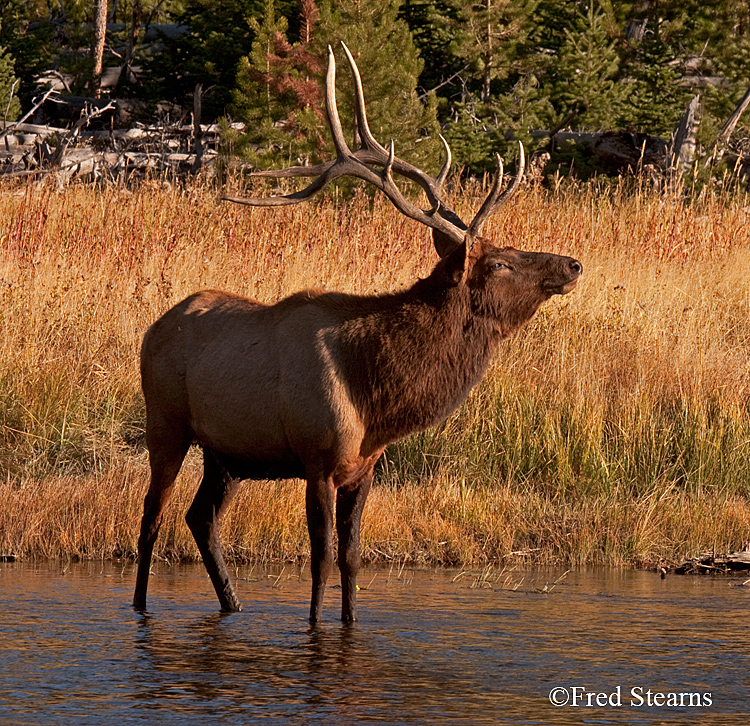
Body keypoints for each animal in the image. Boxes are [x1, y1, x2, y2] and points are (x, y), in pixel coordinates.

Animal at [134, 44, 580, 624]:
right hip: (165, 422)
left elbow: (351, 559)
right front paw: (315, 627)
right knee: (151, 517)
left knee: (200, 519)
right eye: (501, 263)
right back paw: (141, 608)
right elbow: (321, 558)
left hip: (226, 451)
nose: (572, 264)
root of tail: (152, 329)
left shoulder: (363, 468)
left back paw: (232, 605)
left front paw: (348, 622)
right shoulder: (318, 459)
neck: (376, 399)